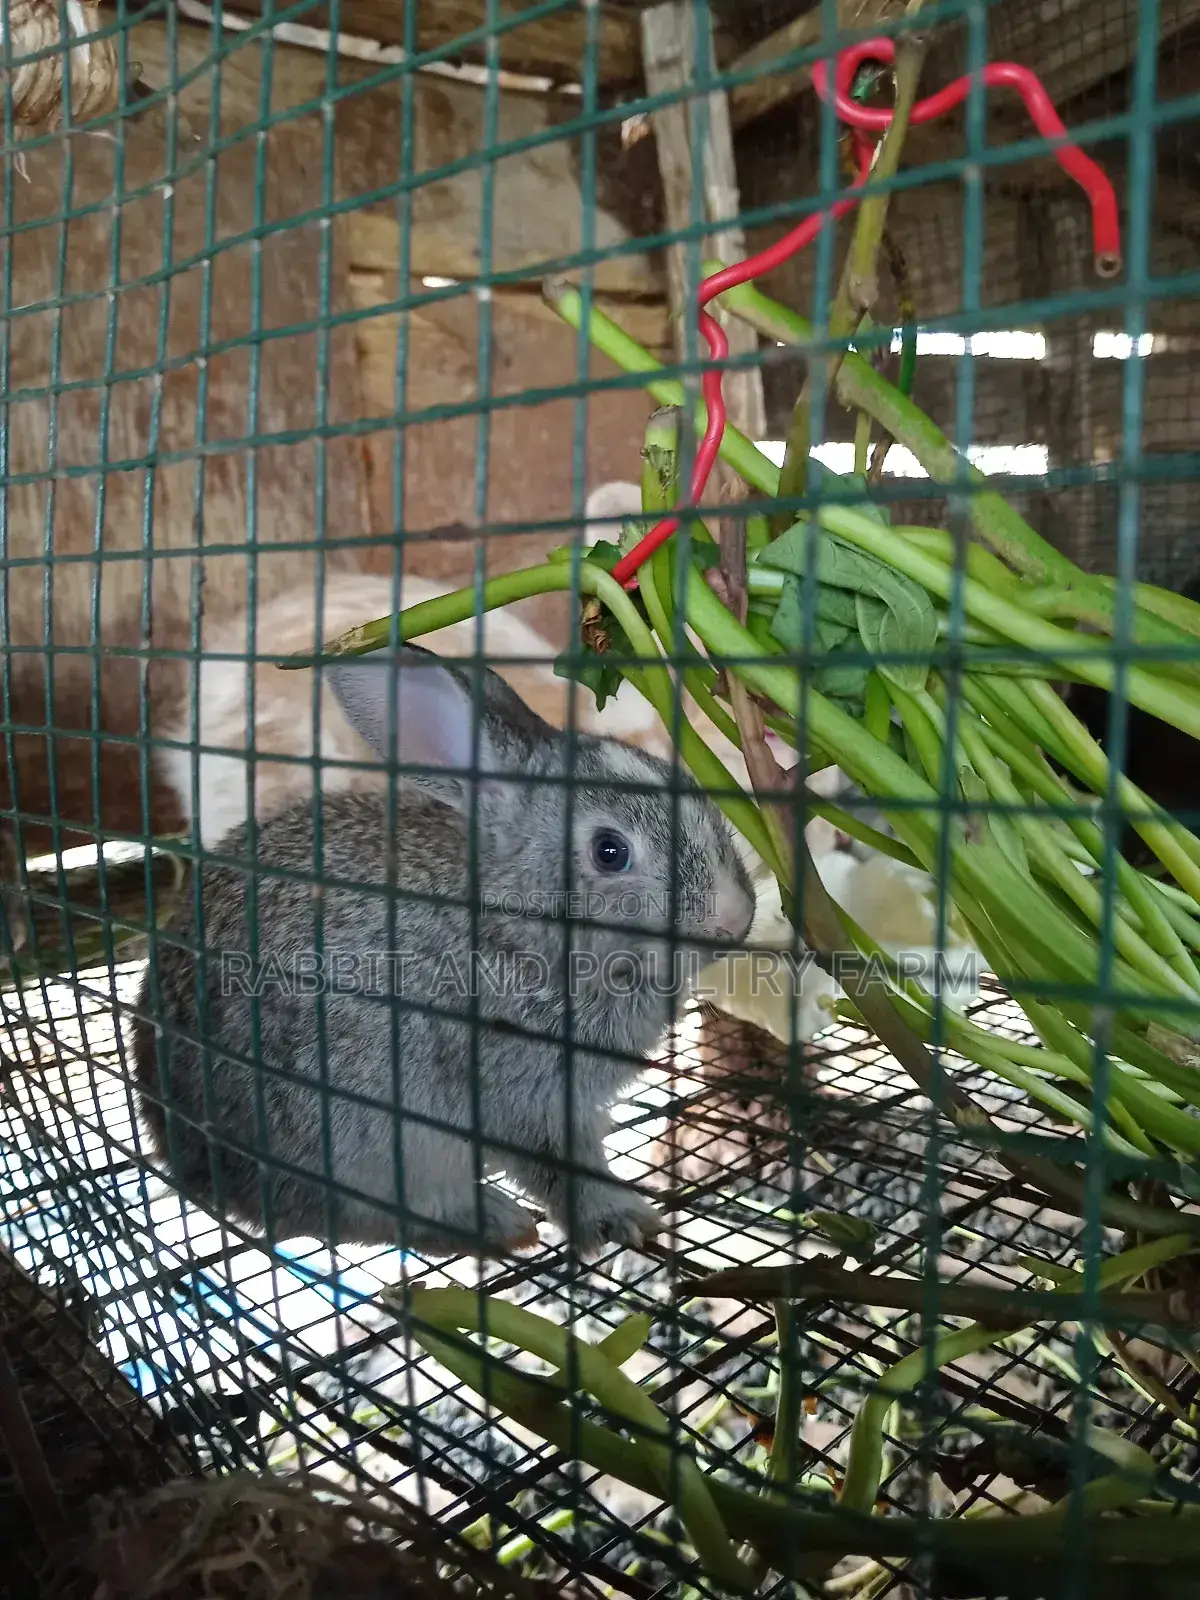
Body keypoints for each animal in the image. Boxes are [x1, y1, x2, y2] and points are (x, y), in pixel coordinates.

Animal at [131, 643, 757, 1259]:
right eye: (609, 851)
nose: (733, 919)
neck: (514, 922)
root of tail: (188, 1160)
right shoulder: (523, 1101)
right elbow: (563, 1171)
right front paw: (622, 1218)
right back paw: (497, 1222)